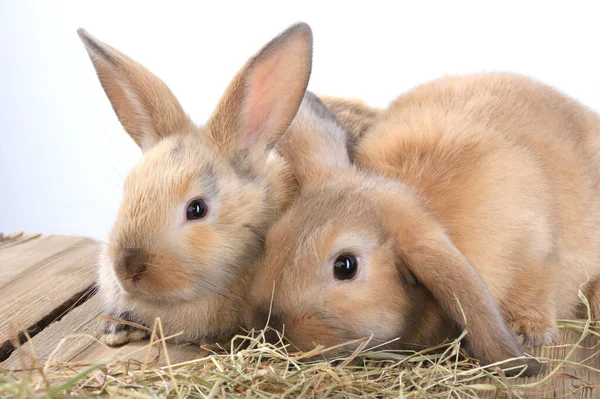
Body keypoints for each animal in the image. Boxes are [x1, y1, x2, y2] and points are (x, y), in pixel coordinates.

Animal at [246, 73, 600, 376]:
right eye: (271, 239)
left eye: (345, 266)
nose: (272, 327)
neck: (423, 201)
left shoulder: (535, 249)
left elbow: (535, 283)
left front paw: (525, 332)